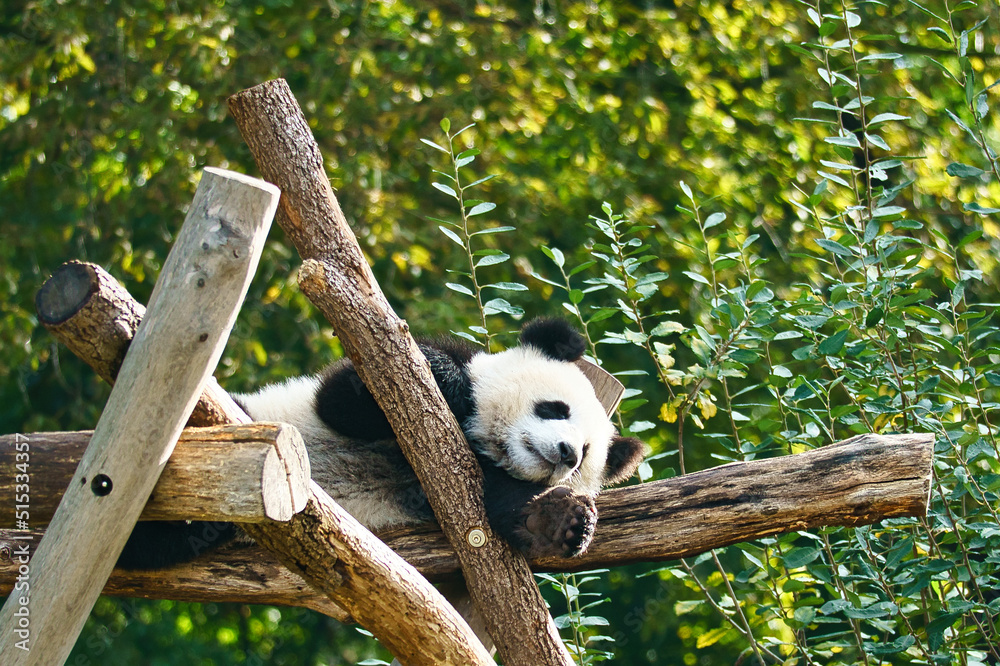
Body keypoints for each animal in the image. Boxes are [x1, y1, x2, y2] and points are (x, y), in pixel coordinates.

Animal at [117, 318, 646, 568]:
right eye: (555, 408)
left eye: (586, 458)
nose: (566, 454)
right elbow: (349, 396)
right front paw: (451, 384)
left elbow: (495, 503)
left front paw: (558, 521)